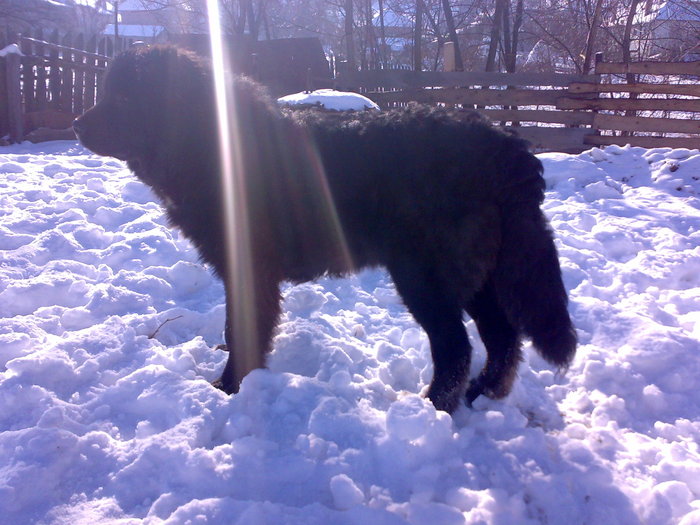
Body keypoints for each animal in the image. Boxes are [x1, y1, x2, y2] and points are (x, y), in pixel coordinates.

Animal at [72, 46, 576, 414]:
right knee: (503, 339)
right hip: (480, 276)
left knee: (456, 347)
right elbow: (239, 328)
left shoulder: (250, 269)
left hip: (426, 276)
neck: (208, 144)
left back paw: (434, 407)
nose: (76, 123)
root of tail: (504, 145)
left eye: (124, 99)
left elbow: (242, 330)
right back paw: (480, 394)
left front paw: (230, 387)